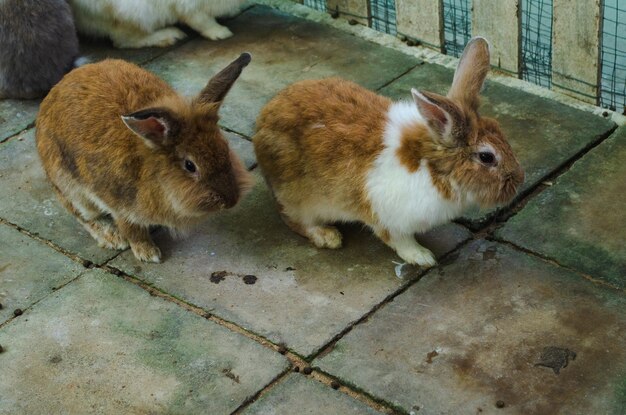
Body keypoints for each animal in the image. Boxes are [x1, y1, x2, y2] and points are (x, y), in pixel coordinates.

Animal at [35, 54, 251, 264]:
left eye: (225, 148)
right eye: (190, 165)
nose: (231, 200)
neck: (151, 166)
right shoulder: (121, 207)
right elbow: (132, 230)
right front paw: (148, 254)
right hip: (70, 187)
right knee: (82, 214)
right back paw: (112, 238)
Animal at [254, 38, 520, 266]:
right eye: (486, 157)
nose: (518, 181)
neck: (431, 167)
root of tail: (262, 123)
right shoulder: (388, 218)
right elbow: (399, 241)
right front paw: (423, 257)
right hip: (301, 198)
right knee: (294, 219)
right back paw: (328, 236)